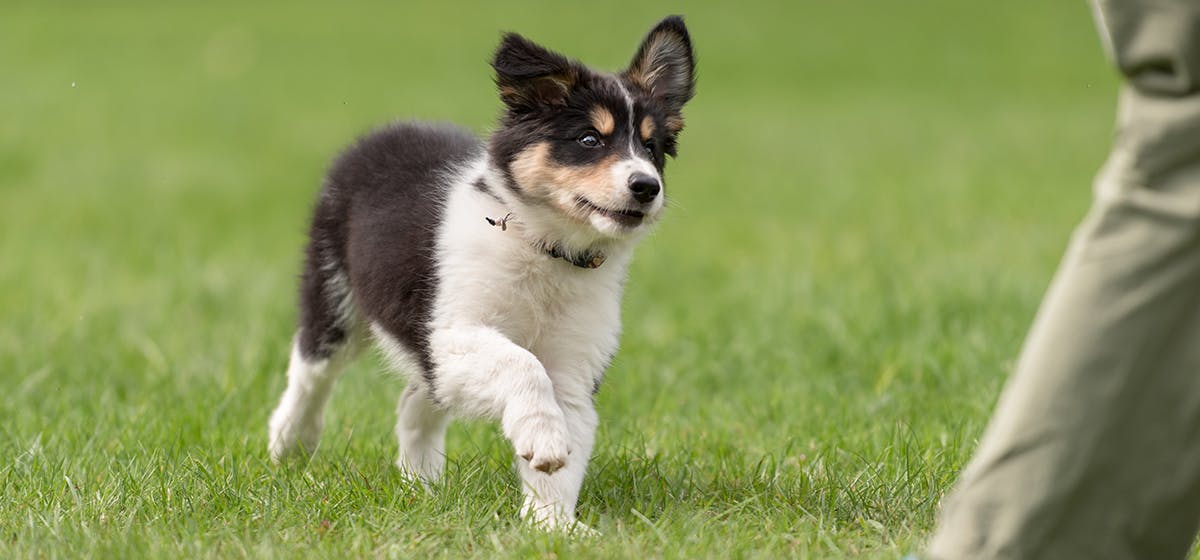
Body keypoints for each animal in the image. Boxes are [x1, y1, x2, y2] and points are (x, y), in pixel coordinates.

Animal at [262, 14, 696, 530]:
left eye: (651, 147)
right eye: (589, 140)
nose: (647, 187)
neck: (548, 251)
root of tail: (386, 132)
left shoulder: (573, 366)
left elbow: (563, 454)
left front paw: (553, 526)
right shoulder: (451, 332)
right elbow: (522, 364)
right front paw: (544, 441)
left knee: (415, 401)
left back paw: (422, 485)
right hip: (333, 294)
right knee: (310, 371)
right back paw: (290, 444)